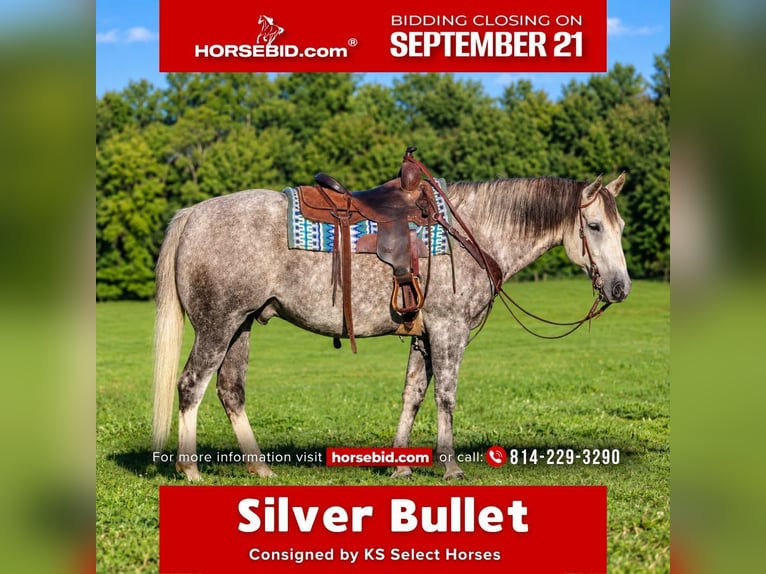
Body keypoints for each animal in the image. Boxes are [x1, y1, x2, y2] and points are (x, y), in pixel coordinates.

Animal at [151, 172, 630, 481]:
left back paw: (260, 467)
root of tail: (193, 213)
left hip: (242, 325)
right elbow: (445, 395)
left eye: (621, 226)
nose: (621, 287)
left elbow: (412, 394)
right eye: (593, 225)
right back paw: (190, 469)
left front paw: (399, 464)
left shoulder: (423, 336)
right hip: (217, 325)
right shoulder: (449, 332)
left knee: (230, 389)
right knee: (191, 385)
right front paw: (450, 465)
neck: (470, 235)